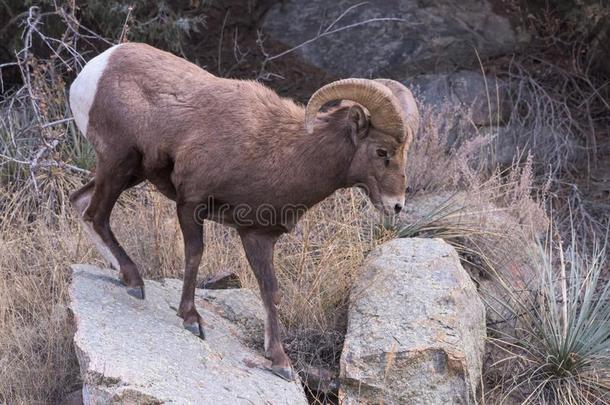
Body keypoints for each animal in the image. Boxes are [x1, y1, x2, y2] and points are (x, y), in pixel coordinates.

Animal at [67, 42, 418, 380]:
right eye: (381, 151)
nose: (396, 205)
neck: (284, 151)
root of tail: (96, 69)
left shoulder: (257, 235)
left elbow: (270, 291)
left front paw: (280, 362)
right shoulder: (191, 204)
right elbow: (194, 255)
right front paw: (191, 319)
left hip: (131, 173)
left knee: (81, 203)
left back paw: (126, 277)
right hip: (119, 163)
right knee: (96, 215)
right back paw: (134, 282)